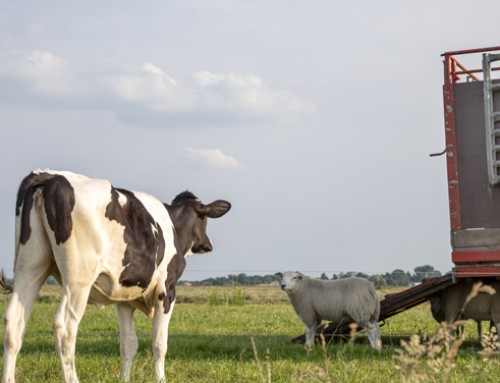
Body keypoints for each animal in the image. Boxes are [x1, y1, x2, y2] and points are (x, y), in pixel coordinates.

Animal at [1, 171, 230, 383]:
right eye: (203, 218)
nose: (207, 244)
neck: (173, 226)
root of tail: (50, 176)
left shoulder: (125, 299)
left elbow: (128, 343)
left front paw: (124, 379)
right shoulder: (167, 290)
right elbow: (159, 342)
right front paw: (160, 378)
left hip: (30, 266)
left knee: (13, 322)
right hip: (78, 279)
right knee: (64, 328)